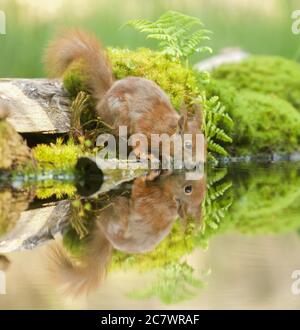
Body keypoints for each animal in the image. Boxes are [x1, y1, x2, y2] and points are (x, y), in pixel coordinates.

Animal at [45, 29, 204, 165]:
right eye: (187, 145)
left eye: (205, 141)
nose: (201, 162)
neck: (168, 130)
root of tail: (104, 97)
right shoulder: (146, 130)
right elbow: (139, 143)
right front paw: (153, 156)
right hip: (121, 117)